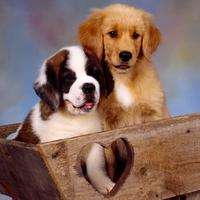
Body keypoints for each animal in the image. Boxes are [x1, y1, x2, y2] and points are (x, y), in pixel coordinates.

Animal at [14, 45, 115, 195]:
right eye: (69, 78)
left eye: (94, 74)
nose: (89, 87)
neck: (77, 118)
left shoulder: (94, 141)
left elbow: (96, 166)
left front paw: (105, 184)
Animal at [77, 2, 170, 181]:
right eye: (112, 33)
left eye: (136, 35)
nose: (126, 55)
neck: (123, 78)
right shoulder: (107, 127)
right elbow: (110, 162)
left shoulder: (153, 116)